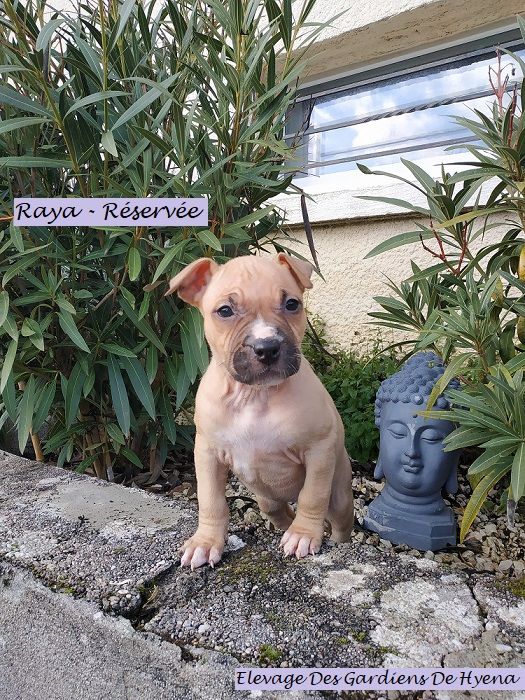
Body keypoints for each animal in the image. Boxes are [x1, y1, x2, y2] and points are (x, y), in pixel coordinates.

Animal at [165, 253, 354, 569]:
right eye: (225, 311)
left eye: (292, 304)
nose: (267, 347)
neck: (254, 395)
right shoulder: (206, 452)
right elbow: (211, 499)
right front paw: (206, 542)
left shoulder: (319, 448)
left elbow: (312, 495)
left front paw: (304, 534)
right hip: (268, 499)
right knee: (279, 512)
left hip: (339, 493)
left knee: (337, 520)